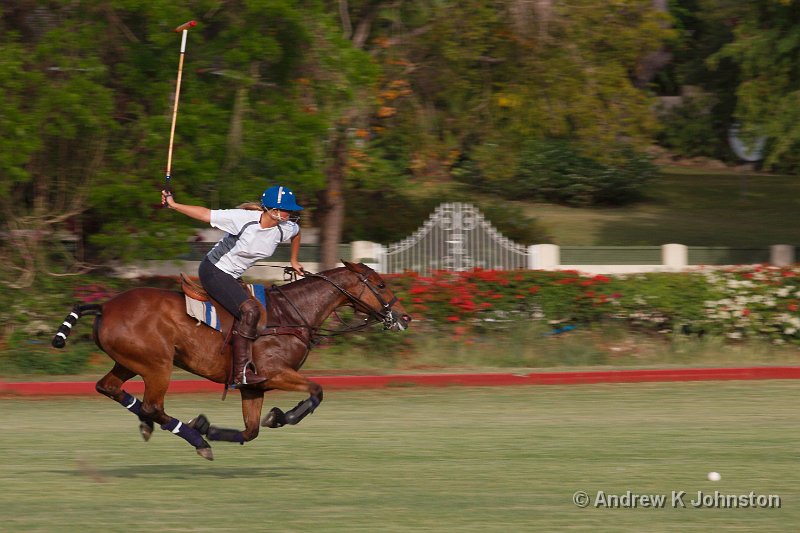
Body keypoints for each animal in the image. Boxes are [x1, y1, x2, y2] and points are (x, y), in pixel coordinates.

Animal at [53, 260, 410, 460]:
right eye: (380, 284)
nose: (404, 317)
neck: (291, 314)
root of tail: (104, 306)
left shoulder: (253, 387)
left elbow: (251, 430)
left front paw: (211, 426)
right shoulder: (273, 373)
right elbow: (317, 391)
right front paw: (280, 416)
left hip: (130, 361)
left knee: (109, 387)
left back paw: (158, 425)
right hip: (158, 365)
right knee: (154, 405)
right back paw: (194, 439)